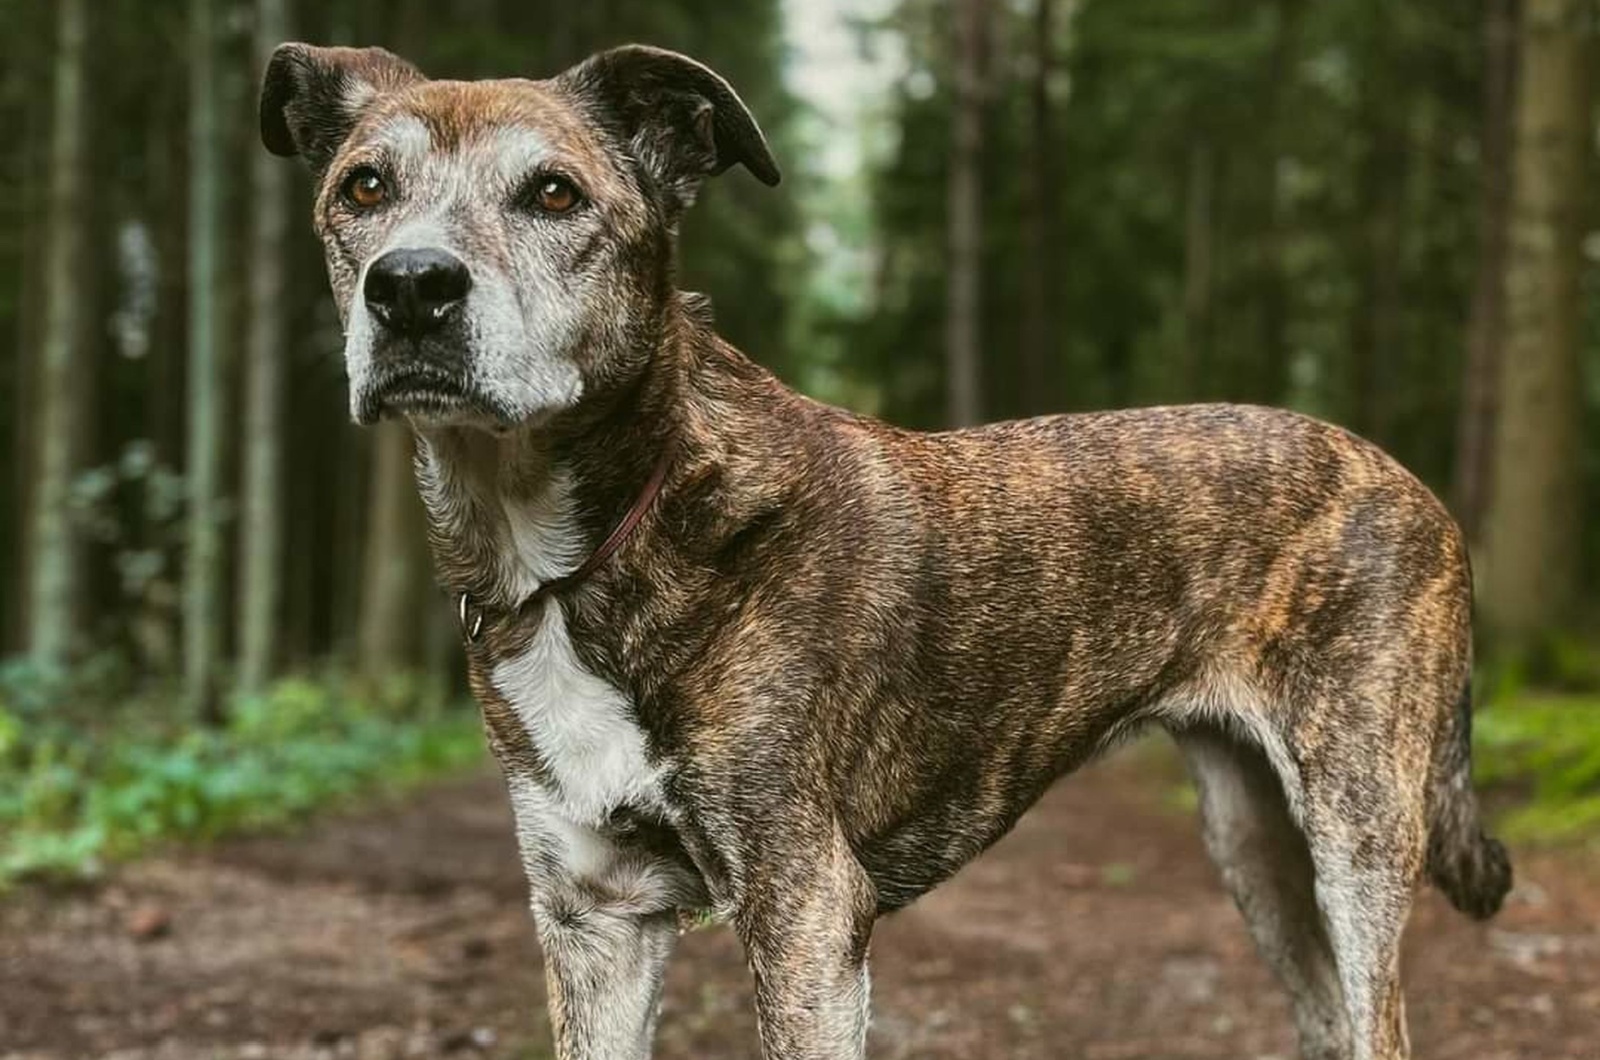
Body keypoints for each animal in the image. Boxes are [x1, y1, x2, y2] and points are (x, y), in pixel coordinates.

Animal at [259, 41, 1510, 1060]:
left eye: (552, 192)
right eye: (364, 187)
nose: (410, 287)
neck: (586, 552)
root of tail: (1410, 480)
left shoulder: (804, 911)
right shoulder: (592, 918)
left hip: (1355, 828)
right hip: (1254, 843)